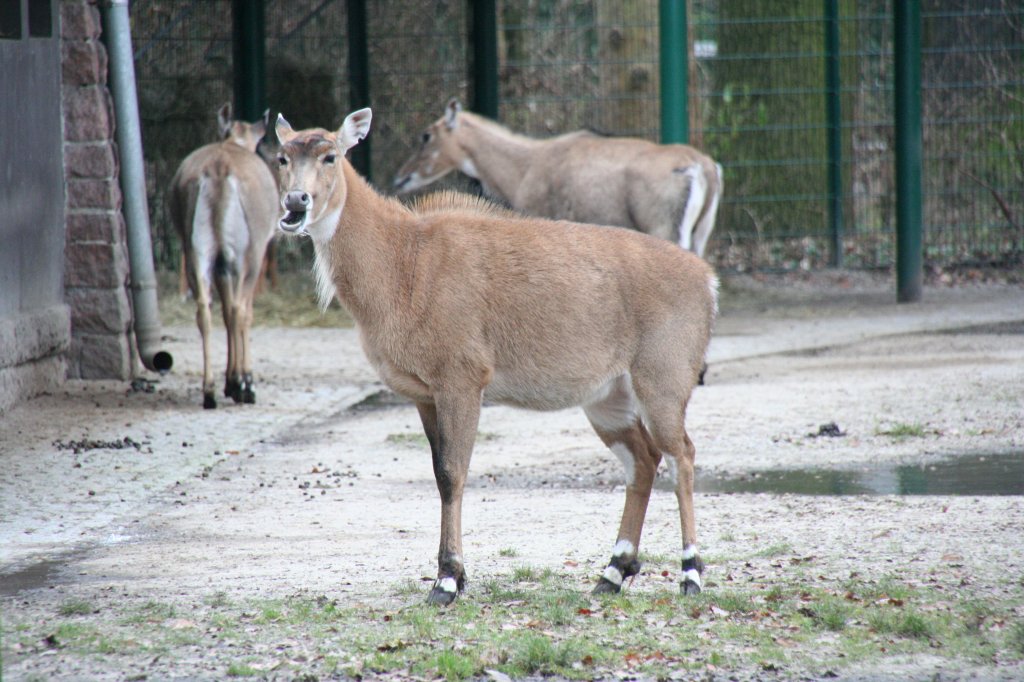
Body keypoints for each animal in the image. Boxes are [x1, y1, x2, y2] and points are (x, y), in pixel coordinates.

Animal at [169, 103, 278, 405]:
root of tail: (219, 170)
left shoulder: (219, 265)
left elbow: (225, 312)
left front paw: (230, 381)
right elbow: (241, 311)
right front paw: (240, 380)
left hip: (198, 252)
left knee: (205, 310)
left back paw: (209, 390)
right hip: (246, 256)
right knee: (240, 309)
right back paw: (246, 386)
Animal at [395, 99, 724, 259]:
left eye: (426, 136)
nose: (400, 179)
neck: (525, 164)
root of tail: (704, 166)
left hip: (667, 231)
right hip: (700, 235)